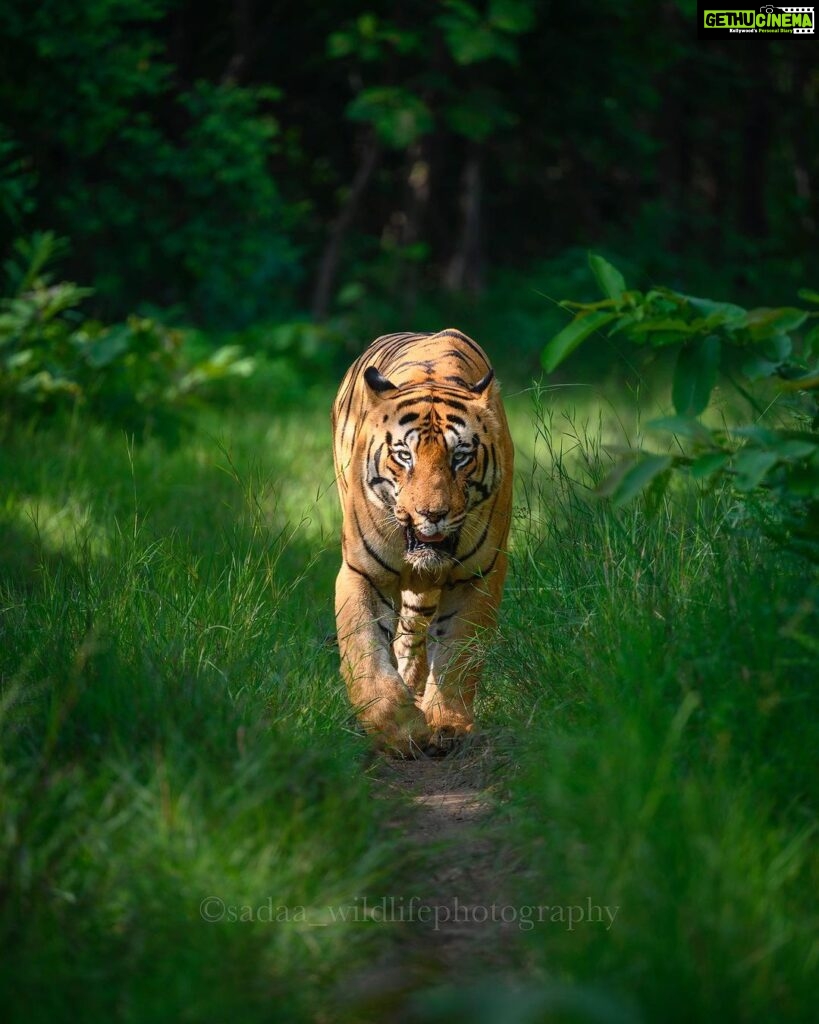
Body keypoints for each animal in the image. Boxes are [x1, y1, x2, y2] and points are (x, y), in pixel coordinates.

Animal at [331, 327, 511, 753]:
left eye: (460, 456)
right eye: (403, 455)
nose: (432, 513)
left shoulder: (478, 576)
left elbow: (460, 655)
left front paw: (446, 723)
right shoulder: (362, 572)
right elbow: (364, 651)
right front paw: (399, 730)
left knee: (412, 635)